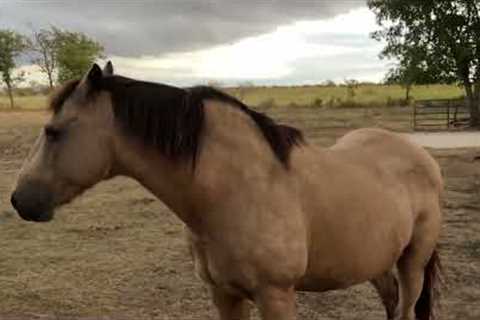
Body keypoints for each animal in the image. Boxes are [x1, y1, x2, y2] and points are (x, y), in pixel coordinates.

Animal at [10, 63, 442, 320]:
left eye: (54, 131)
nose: (19, 200)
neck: (235, 192)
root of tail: (419, 153)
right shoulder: (223, 294)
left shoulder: (276, 296)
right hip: (375, 259)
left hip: (412, 263)